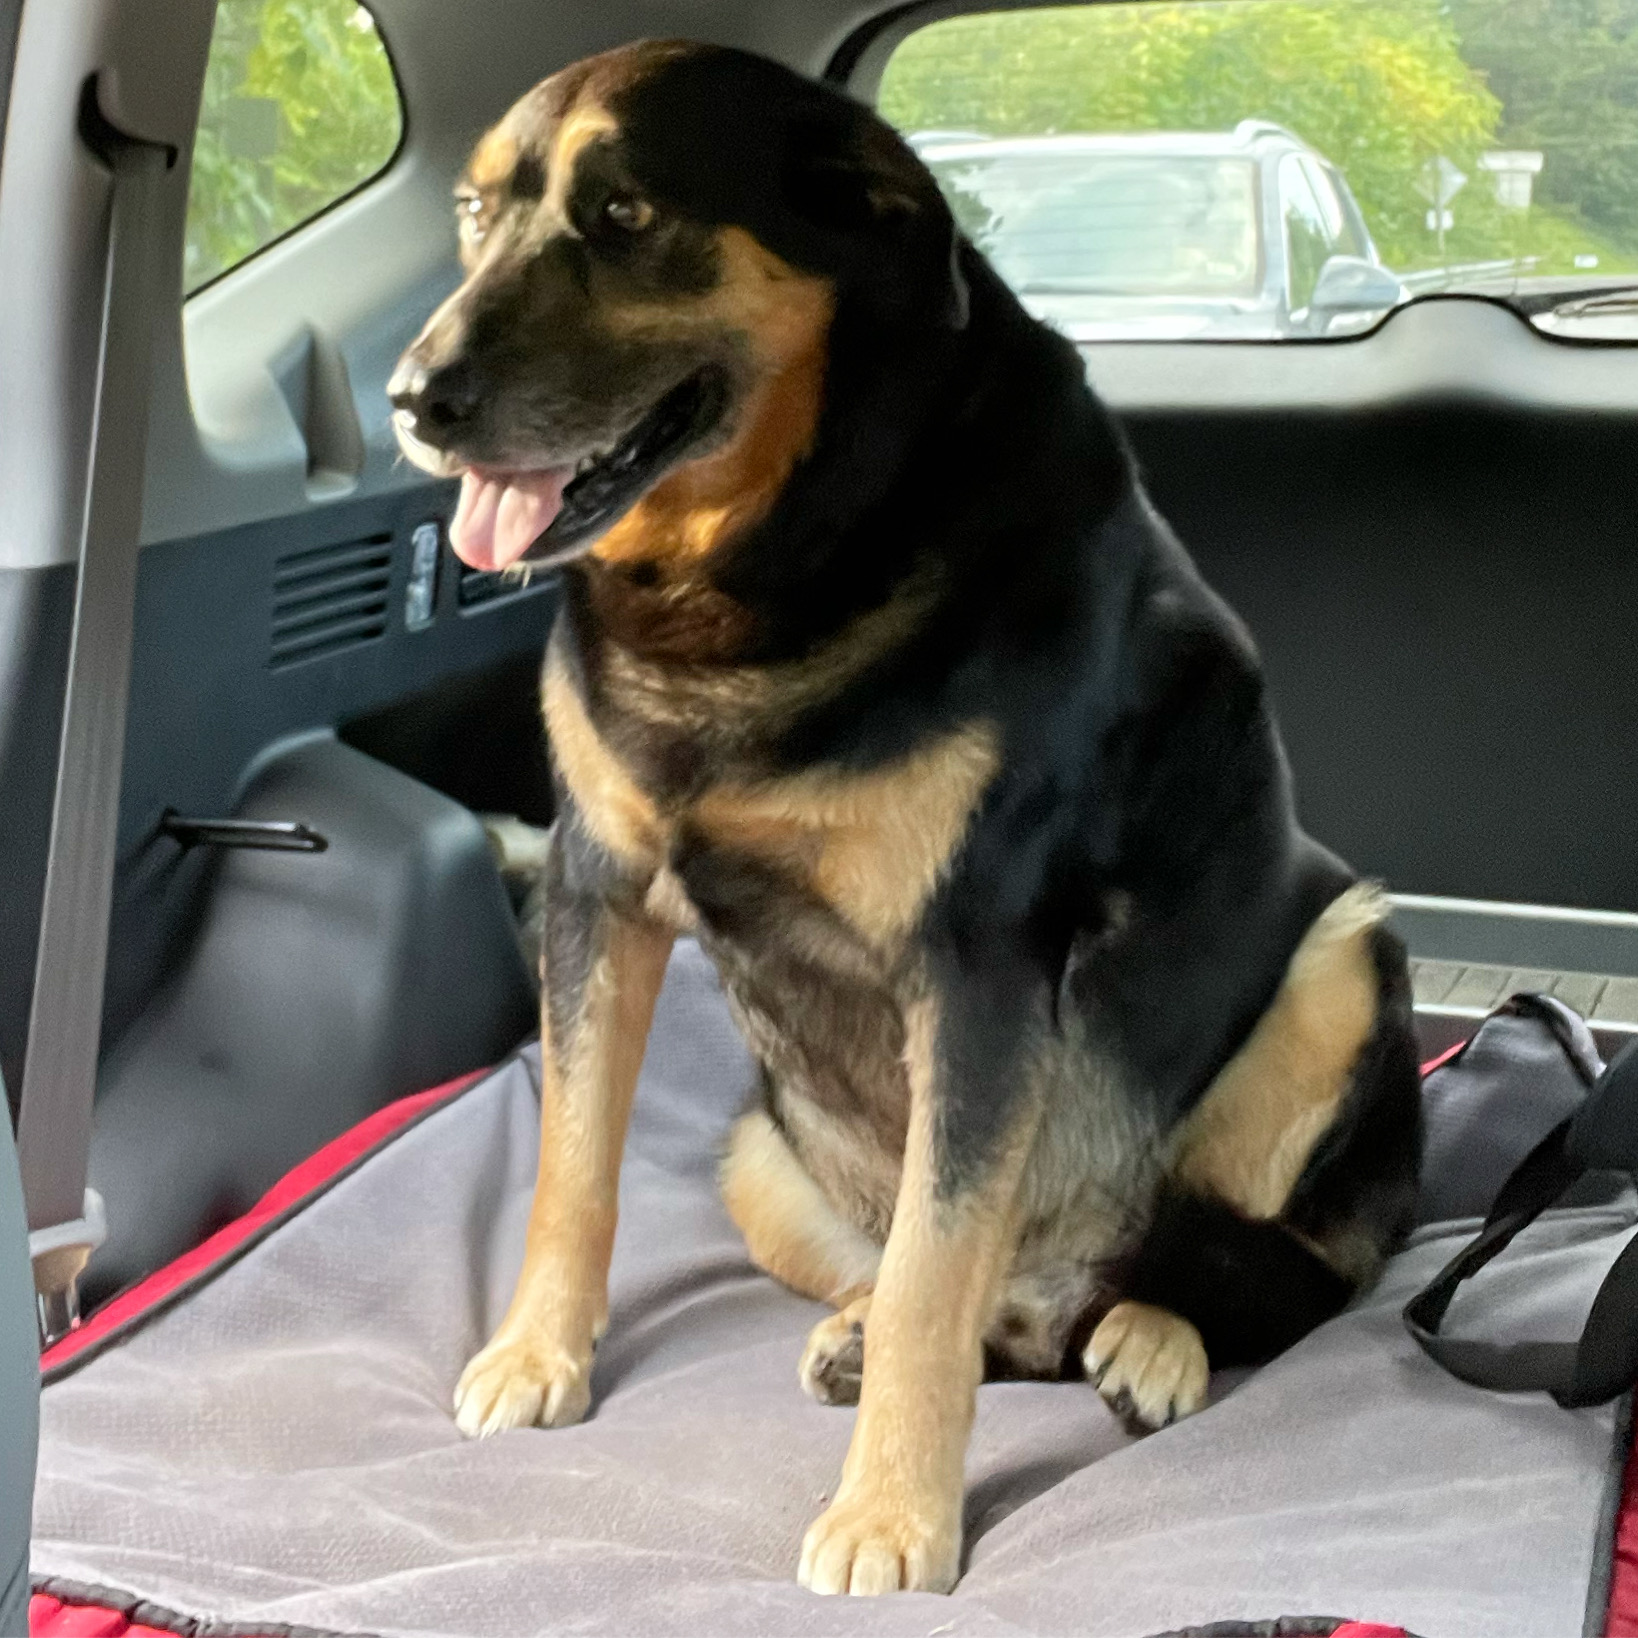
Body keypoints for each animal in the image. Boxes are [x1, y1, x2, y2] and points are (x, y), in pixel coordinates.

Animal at [383, 41, 1421, 1598]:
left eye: (626, 213)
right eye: (472, 211)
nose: (412, 398)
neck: (751, 581)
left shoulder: (978, 965)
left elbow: (943, 1266)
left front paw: (891, 1519)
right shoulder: (597, 886)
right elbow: (573, 1160)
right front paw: (535, 1353)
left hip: (1346, 958)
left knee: (1244, 1271)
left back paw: (1146, 1340)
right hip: (759, 1159)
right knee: (940, 1279)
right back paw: (869, 1330)